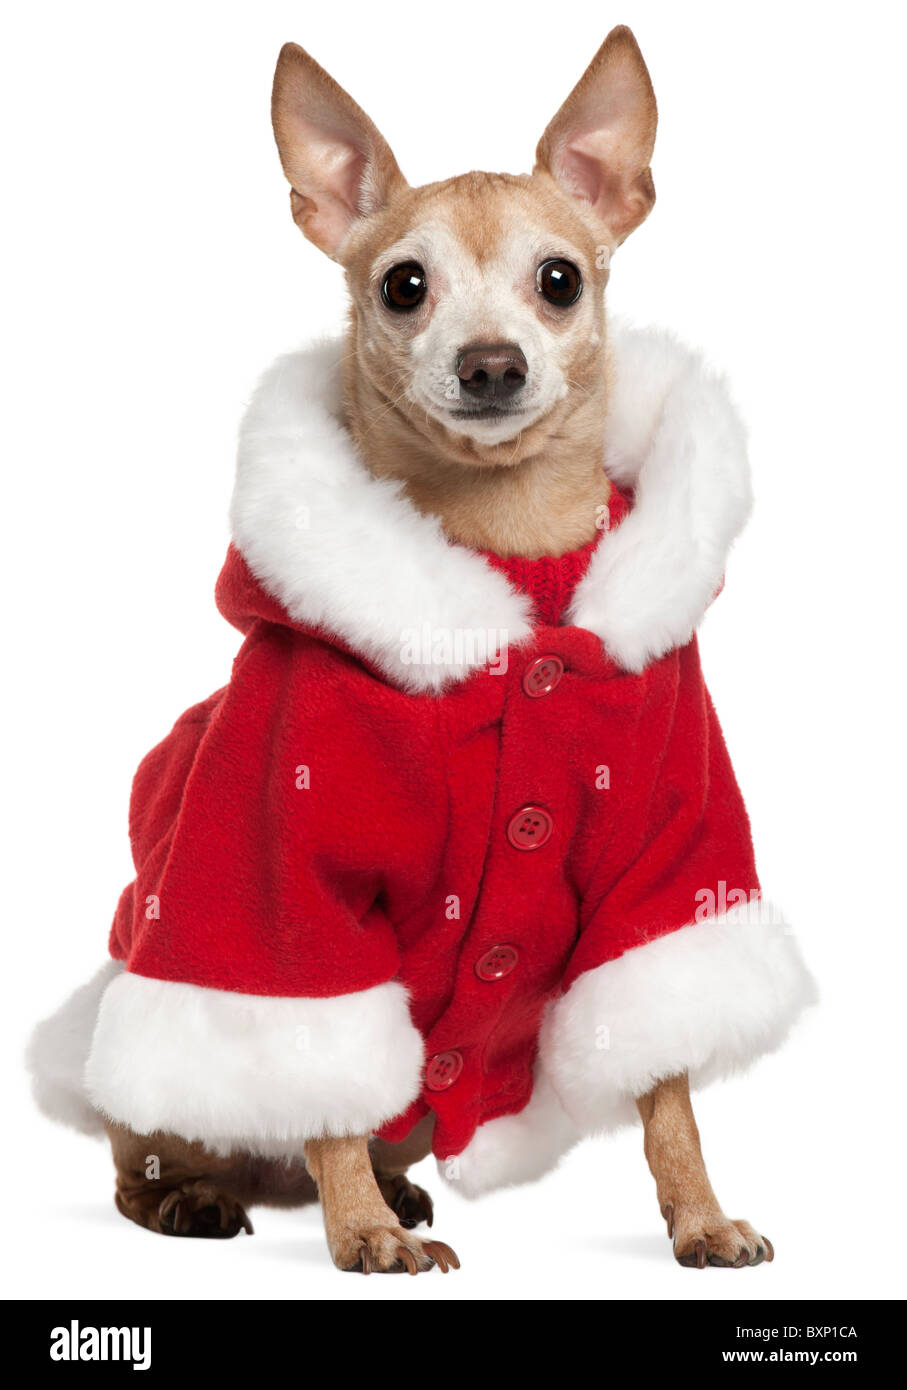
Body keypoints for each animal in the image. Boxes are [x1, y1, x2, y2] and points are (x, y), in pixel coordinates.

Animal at [26, 27, 811, 1273]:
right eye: (404, 285)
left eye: (559, 279)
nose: (490, 363)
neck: (510, 553)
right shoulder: (291, 895)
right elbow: (322, 1072)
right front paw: (360, 1235)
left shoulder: (666, 869)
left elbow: (667, 1091)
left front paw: (698, 1215)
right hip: (163, 1070)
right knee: (162, 1150)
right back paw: (213, 1198)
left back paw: (390, 1188)